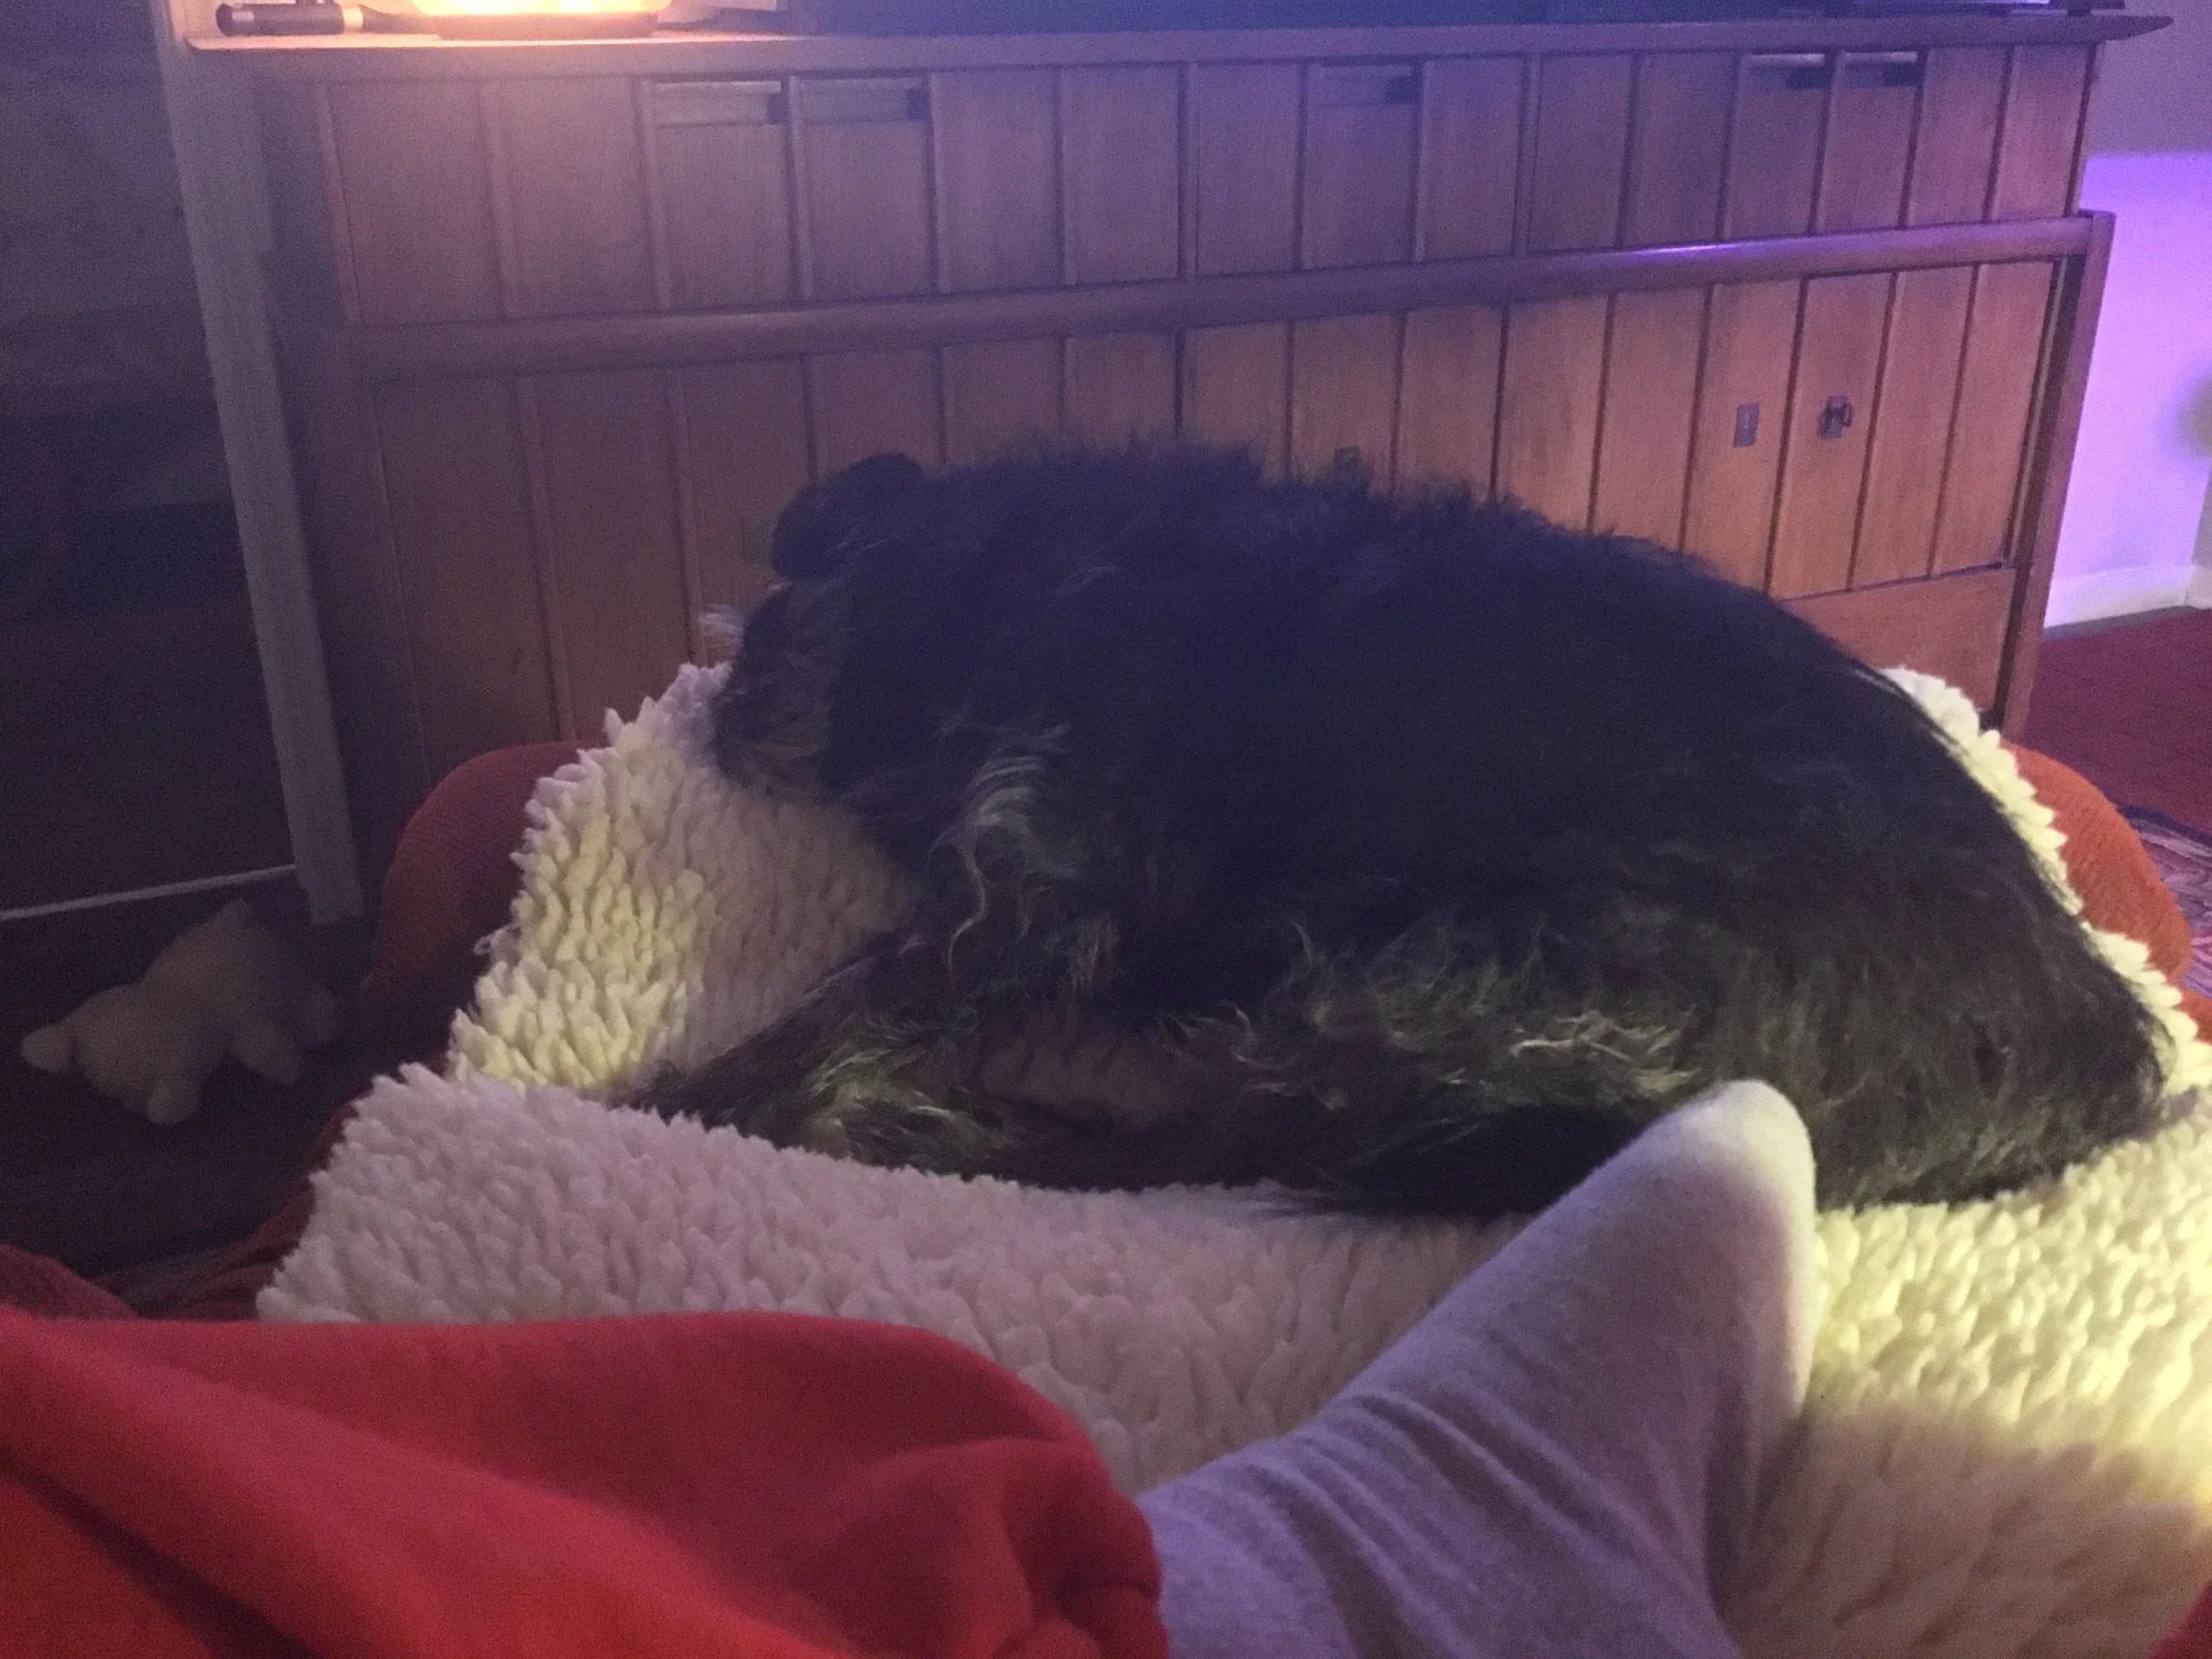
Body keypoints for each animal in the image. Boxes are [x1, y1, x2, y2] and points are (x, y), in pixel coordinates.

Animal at [637, 442, 2158, 1221]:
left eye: (793, 592)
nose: (728, 696)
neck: (1014, 568)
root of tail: (2091, 1061)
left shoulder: (1030, 879)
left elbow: (828, 1021)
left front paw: (668, 1107)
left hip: (1458, 989)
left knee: (1235, 1139)